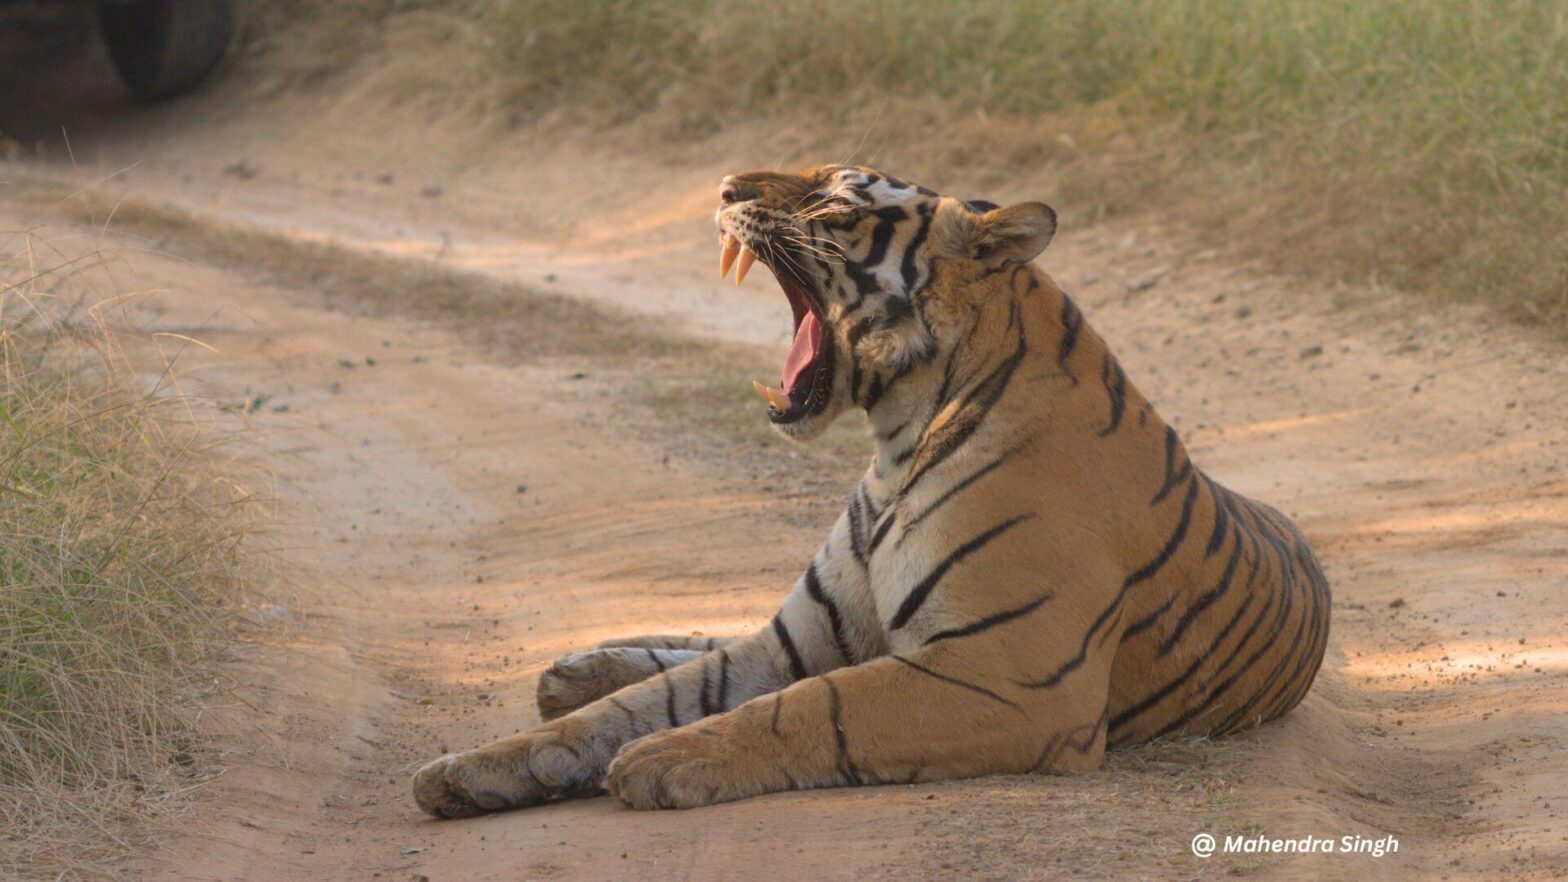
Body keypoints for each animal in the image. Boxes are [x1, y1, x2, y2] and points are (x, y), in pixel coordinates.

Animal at [410, 161, 1329, 816]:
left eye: (835, 200)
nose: (723, 187)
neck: (896, 443)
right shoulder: (806, 637)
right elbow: (647, 702)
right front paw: (465, 771)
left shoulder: (1009, 676)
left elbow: (812, 708)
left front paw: (668, 760)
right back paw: (575, 669)